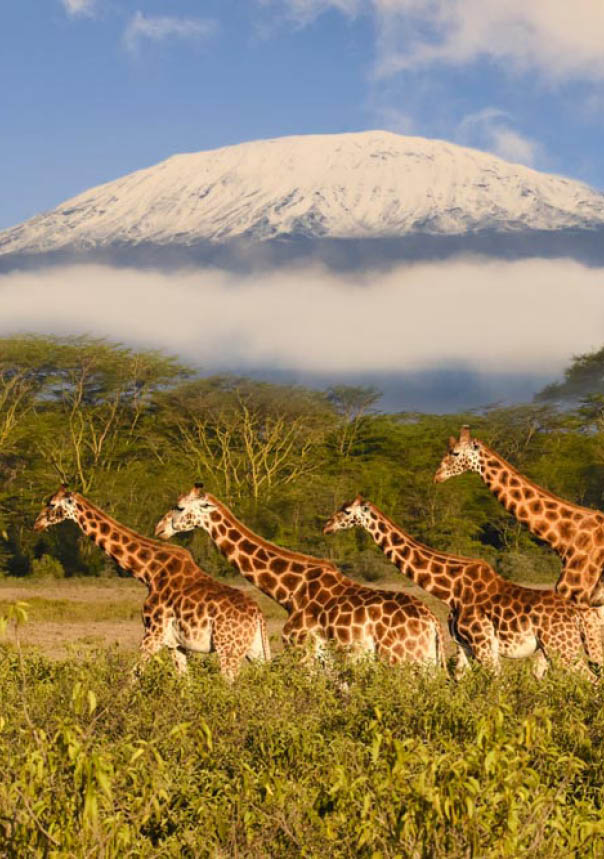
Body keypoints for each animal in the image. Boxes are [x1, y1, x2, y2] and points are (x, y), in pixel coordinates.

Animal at [33, 486, 270, 680]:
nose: (37, 523)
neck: (148, 572)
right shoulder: (176, 644)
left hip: (228, 650)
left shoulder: (153, 633)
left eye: (52, 504)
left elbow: (132, 677)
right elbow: (185, 683)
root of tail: (259, 615)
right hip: (255, 651)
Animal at [154, 485, 446, 669]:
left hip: (398, 660)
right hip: (425, 664)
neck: (290, 590)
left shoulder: (301, 650)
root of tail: (433, 623)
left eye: (179, 507)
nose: (159, 529)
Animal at [323, 495, 597, 681]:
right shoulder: (464, 646)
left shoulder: (483, 644)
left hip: (561, 647)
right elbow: (460, 683)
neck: (451, 590)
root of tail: (576, 613)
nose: (326, 526)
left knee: (591, 679)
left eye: (346, 511)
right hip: (556, 648)